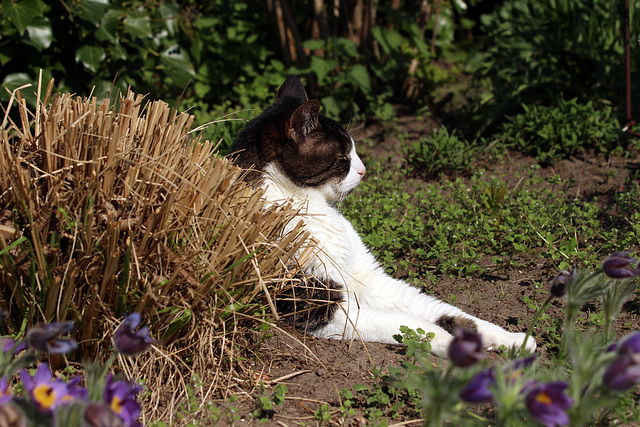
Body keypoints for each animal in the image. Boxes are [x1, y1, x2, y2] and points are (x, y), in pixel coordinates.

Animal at [230, 77, 536, 358]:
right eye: (344, 157)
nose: (364, 169)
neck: (316, 207)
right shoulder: (316, 306)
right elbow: (412, 324)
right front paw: (457, 346)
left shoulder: (373, 281)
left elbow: (450, 314)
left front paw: (515, 339)